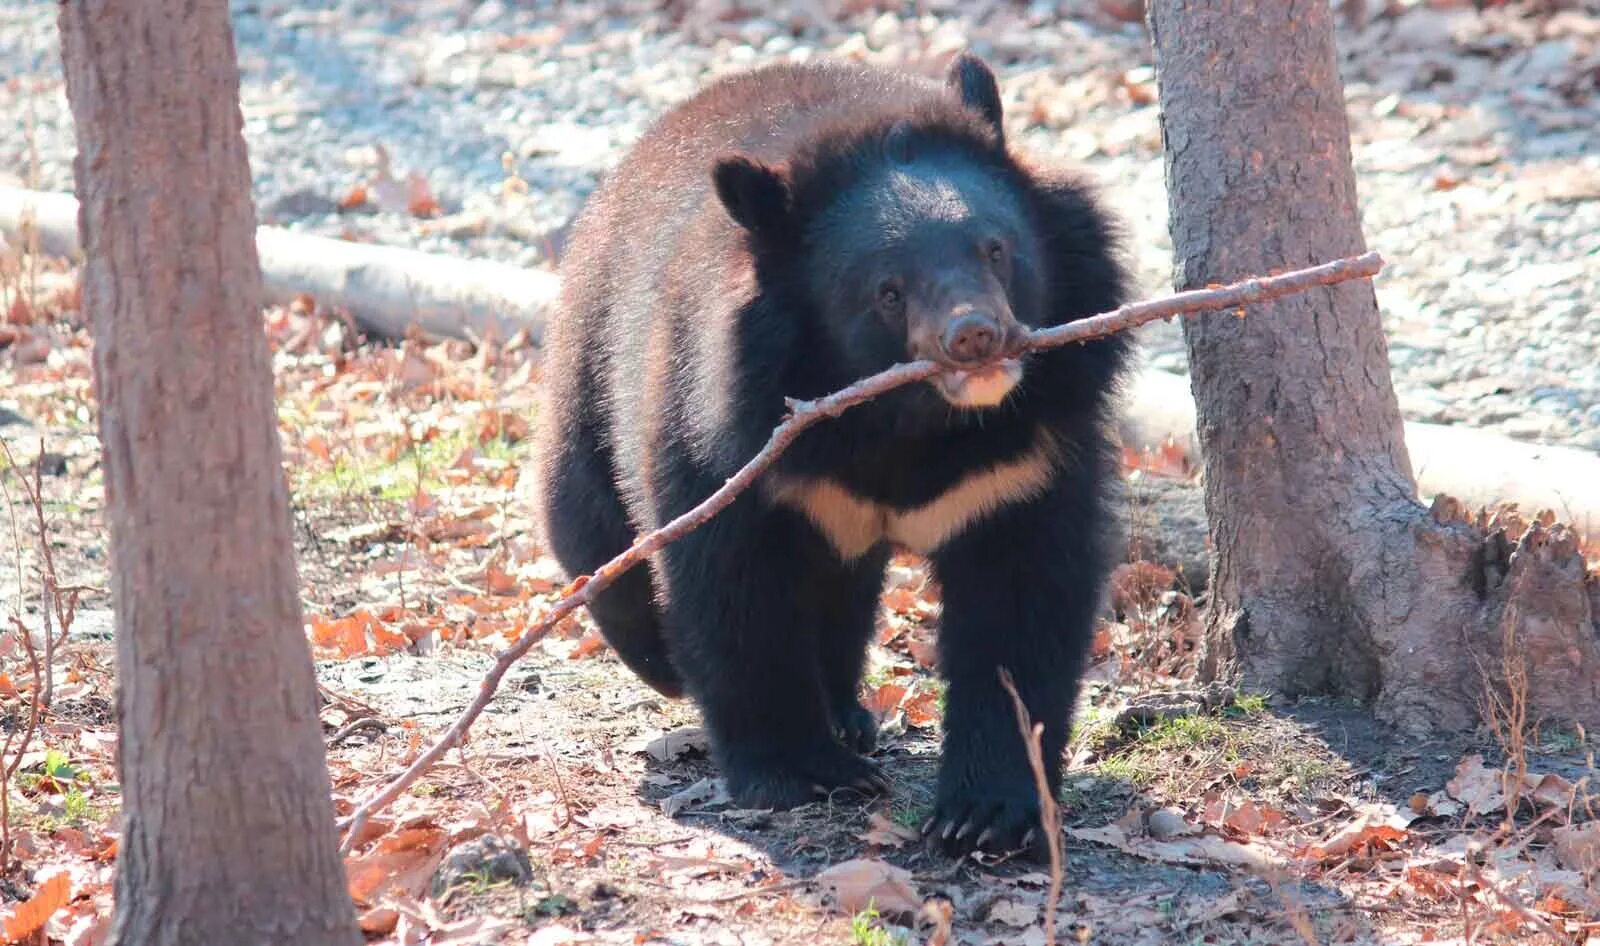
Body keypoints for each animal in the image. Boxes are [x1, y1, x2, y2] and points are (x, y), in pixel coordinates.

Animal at [540, 53, 1139, 857]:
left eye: (997, 249)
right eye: (888, 291)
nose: (977, 336)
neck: (904, 423)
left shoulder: (1025, 460)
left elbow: (1022, 606)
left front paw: (984, 814)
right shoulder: (736, 434)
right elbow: (734, 589)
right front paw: (806, 774)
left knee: (841, 591)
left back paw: (848, 715)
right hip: (593, 369)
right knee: (592, 530)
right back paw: (668, 665)